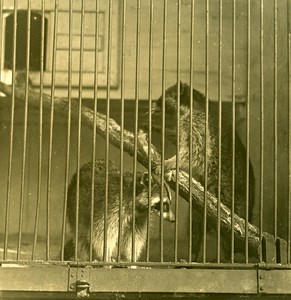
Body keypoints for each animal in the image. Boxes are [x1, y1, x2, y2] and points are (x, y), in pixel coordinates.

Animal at [146, 82, 256, 260]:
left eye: (162, 98)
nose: (152, 104)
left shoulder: (199, 126)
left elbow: (192, 152)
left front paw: (171, 161)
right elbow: (177, 139)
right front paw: (161, 129)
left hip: (233, 201)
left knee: (229, 239)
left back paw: (227, 258)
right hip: (199, 210)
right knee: (194, 226)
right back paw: (193, 253)